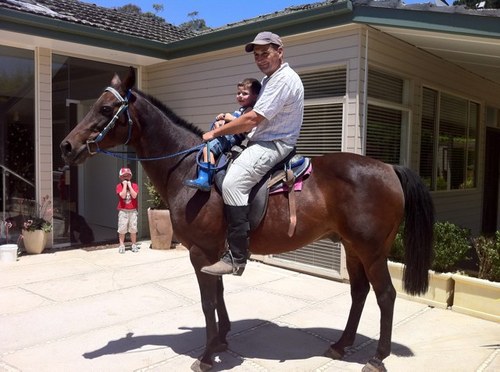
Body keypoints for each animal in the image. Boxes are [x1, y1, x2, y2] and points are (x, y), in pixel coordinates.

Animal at [58, 67, 434, 372]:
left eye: (106, 109)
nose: (66, 146)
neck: (189, 168)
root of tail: (389, 168)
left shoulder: (201, 252)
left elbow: (208, 301)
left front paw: (207, 355)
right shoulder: (215, 253)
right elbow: (220, 293)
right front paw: (222, 339)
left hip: (372, 251)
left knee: (385, 295)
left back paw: (377, 357)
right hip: (353, 248)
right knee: (359, 292)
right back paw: (341, 345)